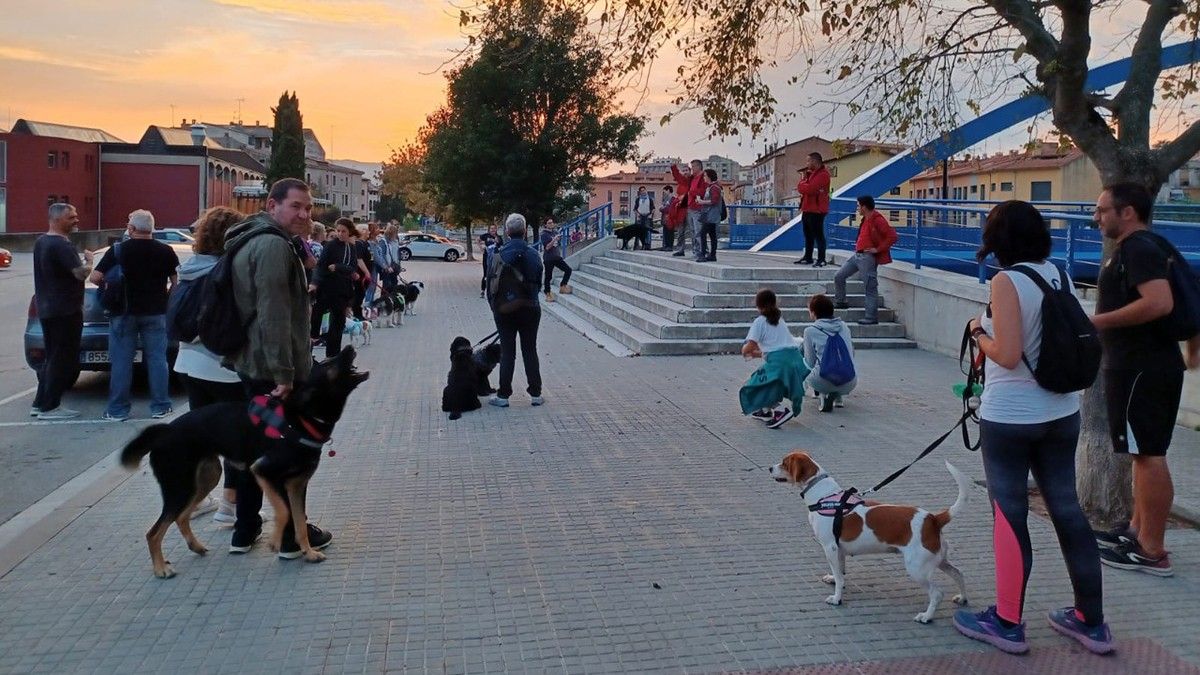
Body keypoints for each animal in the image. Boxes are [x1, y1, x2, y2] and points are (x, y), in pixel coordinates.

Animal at [121, 343, 367, 576]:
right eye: (327, 363)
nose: (349, 347)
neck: (301, 419)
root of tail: (164, 432)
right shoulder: (263, 471)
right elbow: (284, 512)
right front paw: (275, 541)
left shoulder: (296, 485)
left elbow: (298, 522)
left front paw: (308, 552)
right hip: (179, 486)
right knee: (153, 532)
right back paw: (161, 569)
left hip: (204, 479)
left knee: (181, 517)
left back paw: (196, 547)